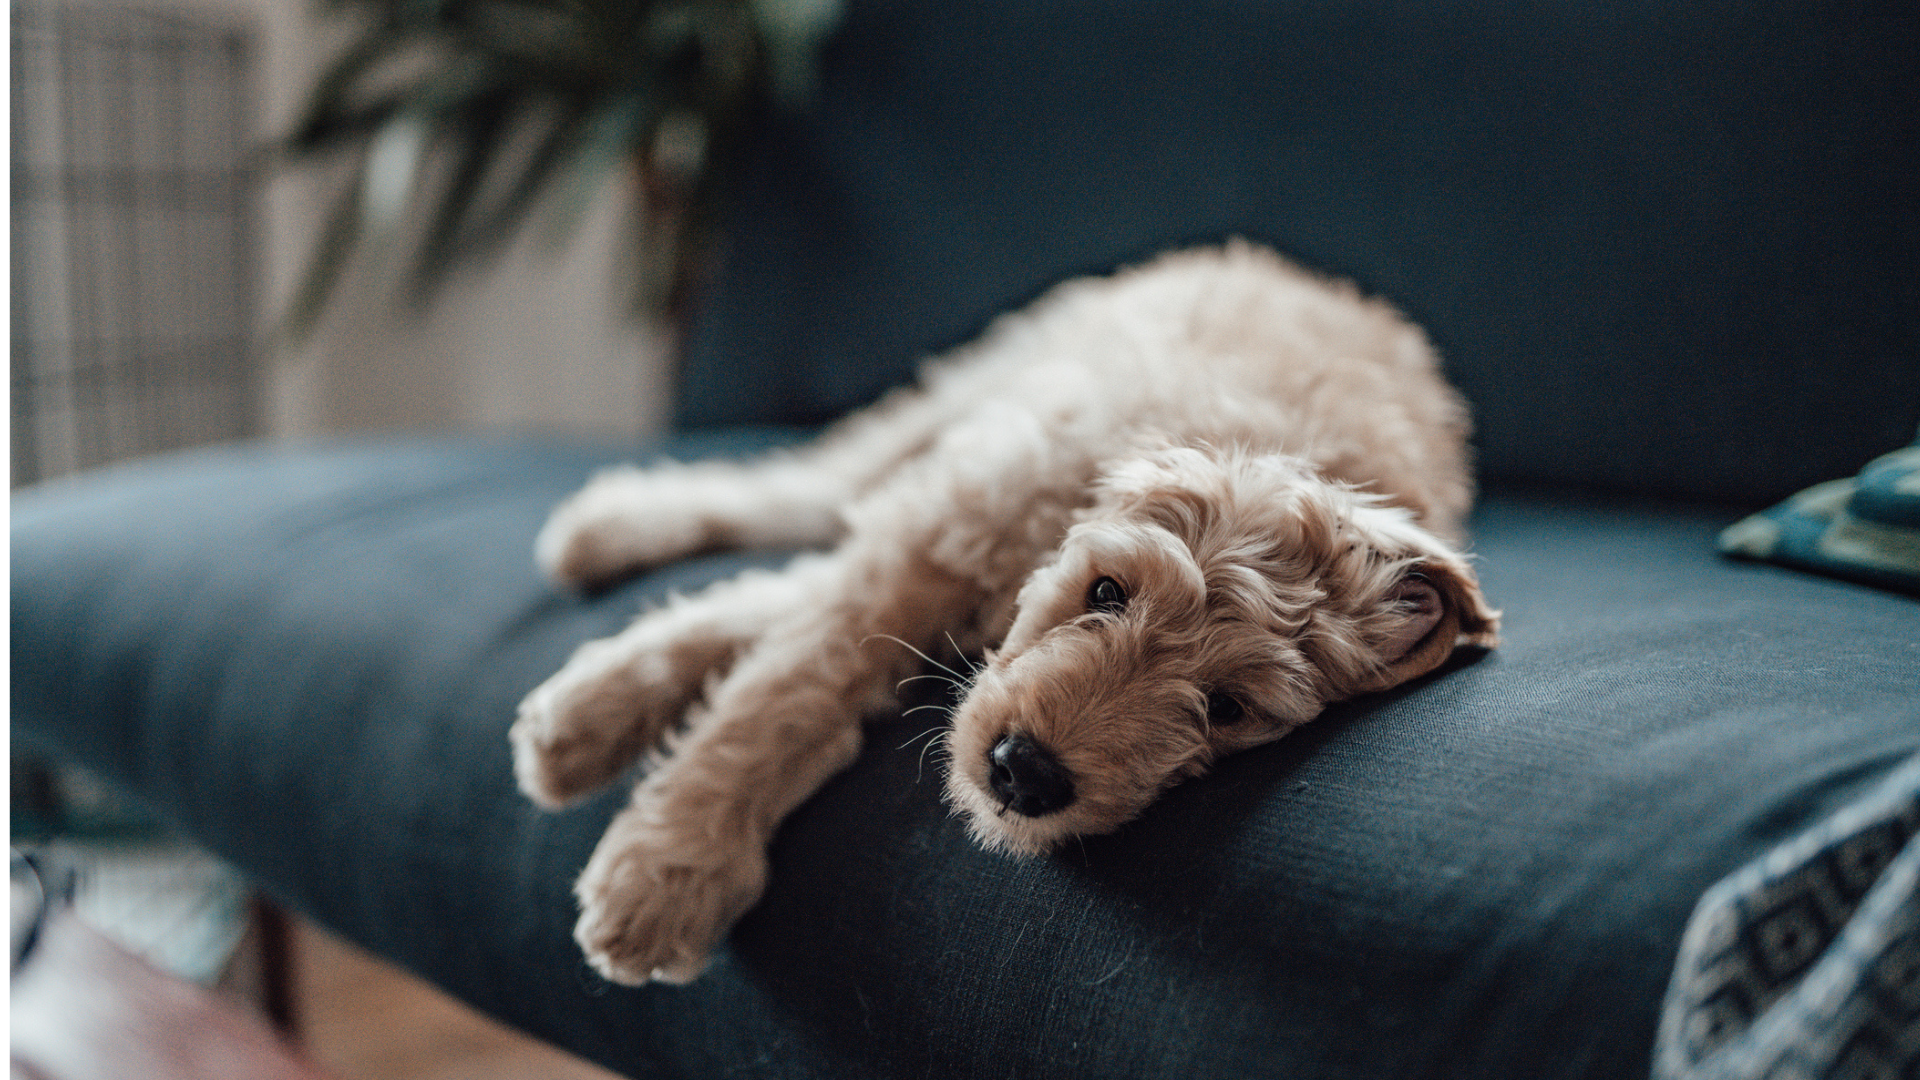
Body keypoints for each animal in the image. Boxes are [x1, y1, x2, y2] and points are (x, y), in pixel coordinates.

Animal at [510, 239, 1497, 980]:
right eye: (1107, 591)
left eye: (1227, 708)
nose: (1024, 774)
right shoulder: (950, 524)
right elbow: (786, 688)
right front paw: (671, 868)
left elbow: (790, 621)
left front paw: (600, 728)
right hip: (981, 385)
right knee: (817, 487)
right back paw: (611, 527)